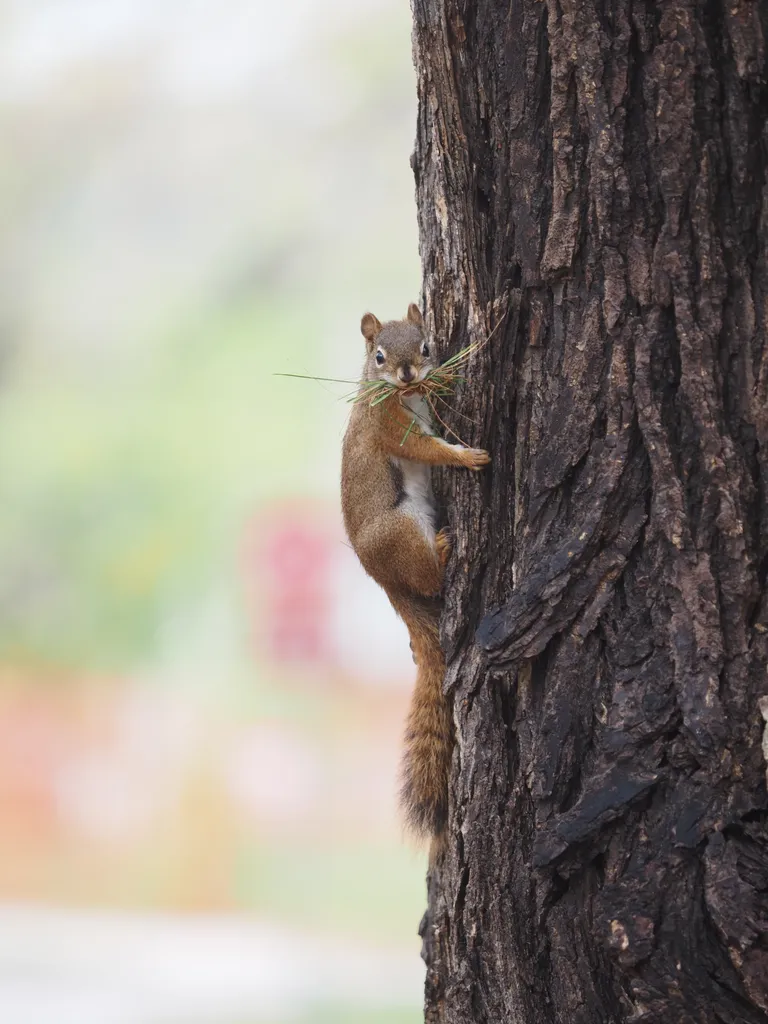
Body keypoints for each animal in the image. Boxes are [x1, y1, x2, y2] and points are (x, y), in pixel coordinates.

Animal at [341, 303, 490, 840]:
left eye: (426, 345)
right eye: (379, 355)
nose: (408, 375)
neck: (401, 397)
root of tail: (382, 579)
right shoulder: (390, 426)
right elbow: (428, 449)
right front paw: (465, 455)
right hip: (401, 530)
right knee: (429, 577)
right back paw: (444, 551)